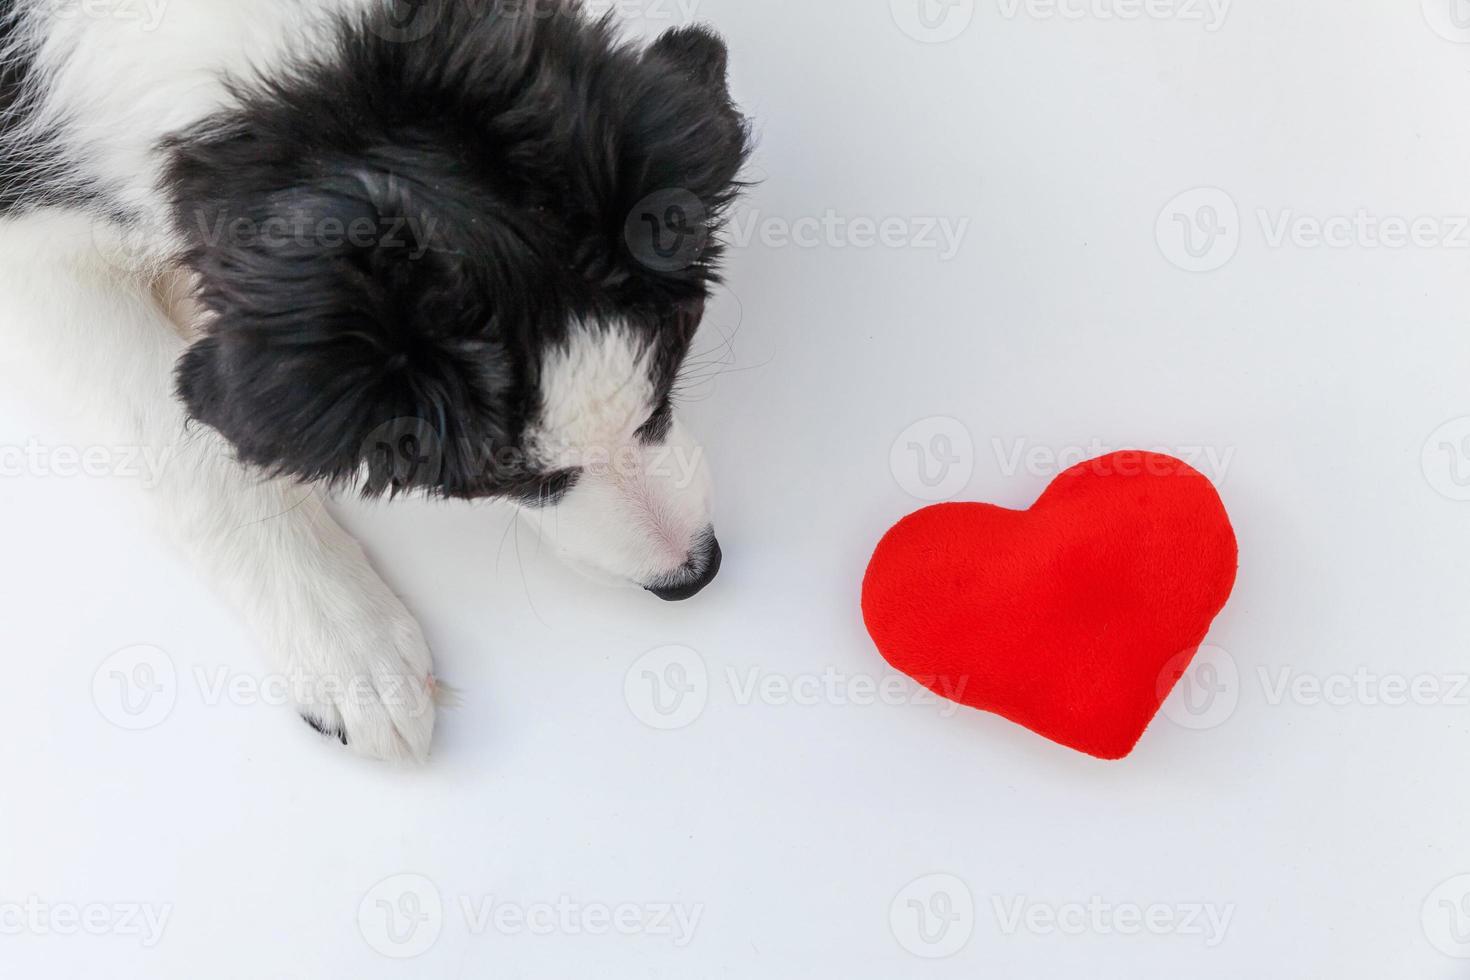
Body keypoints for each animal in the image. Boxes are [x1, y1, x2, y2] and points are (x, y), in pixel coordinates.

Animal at [0, 0, 752, 764]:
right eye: (508, 476)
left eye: (664, 390)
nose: (693, 573)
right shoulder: (26, 247)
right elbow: (182, 439)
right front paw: (350, 647)